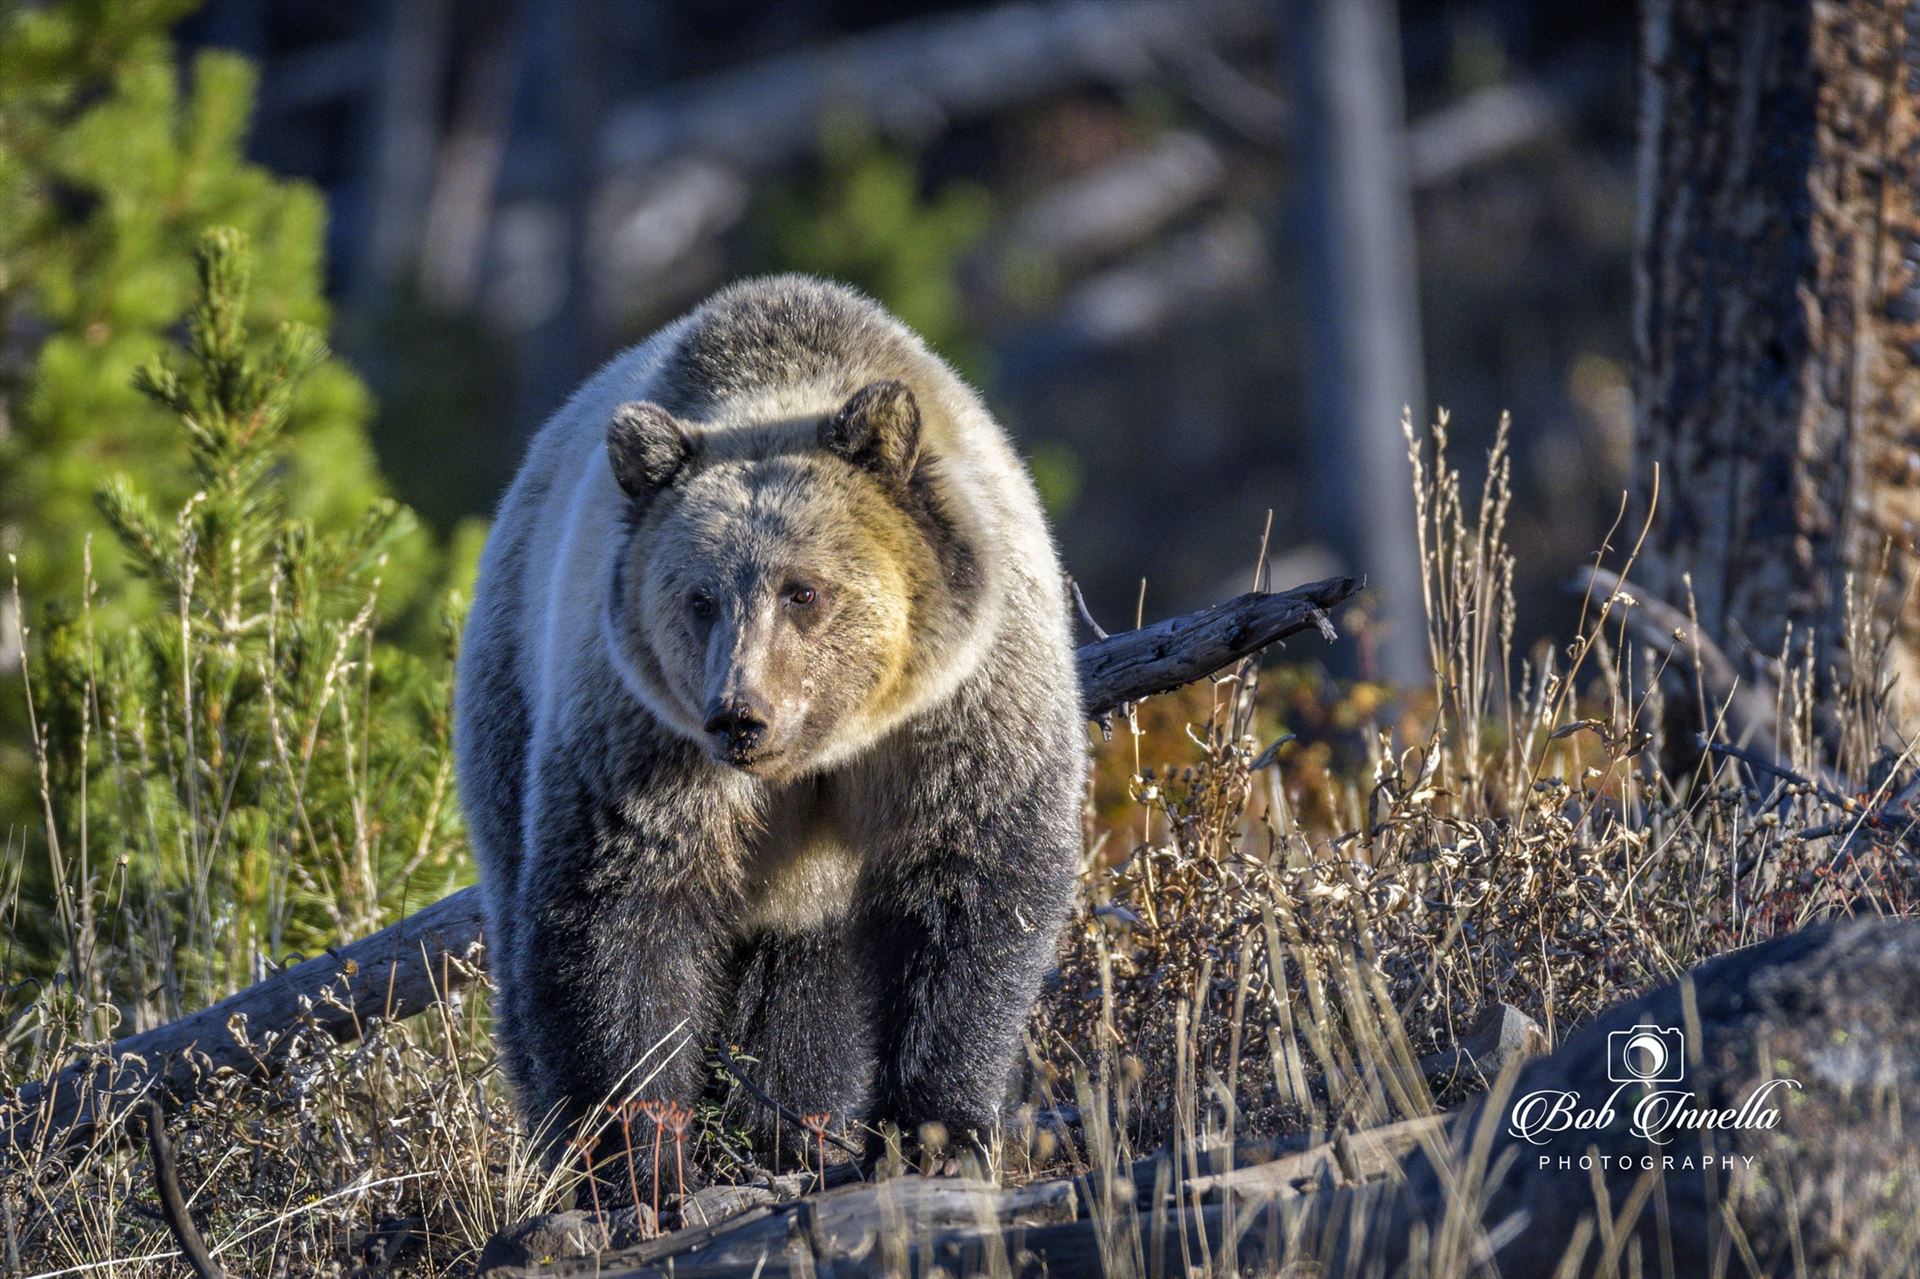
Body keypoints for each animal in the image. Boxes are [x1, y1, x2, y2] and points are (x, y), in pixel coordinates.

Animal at [447, 274, 1082, 1182]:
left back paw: (788, 1125)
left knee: (804, 984)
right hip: (512, 700)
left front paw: (937, 1130)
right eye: (699, 597)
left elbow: (979, 886)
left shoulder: (964, 708)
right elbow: (618, 916)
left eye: (803, 589)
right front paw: (636, 1154)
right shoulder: (643, 740)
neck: (823, 750)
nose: (740, 714)